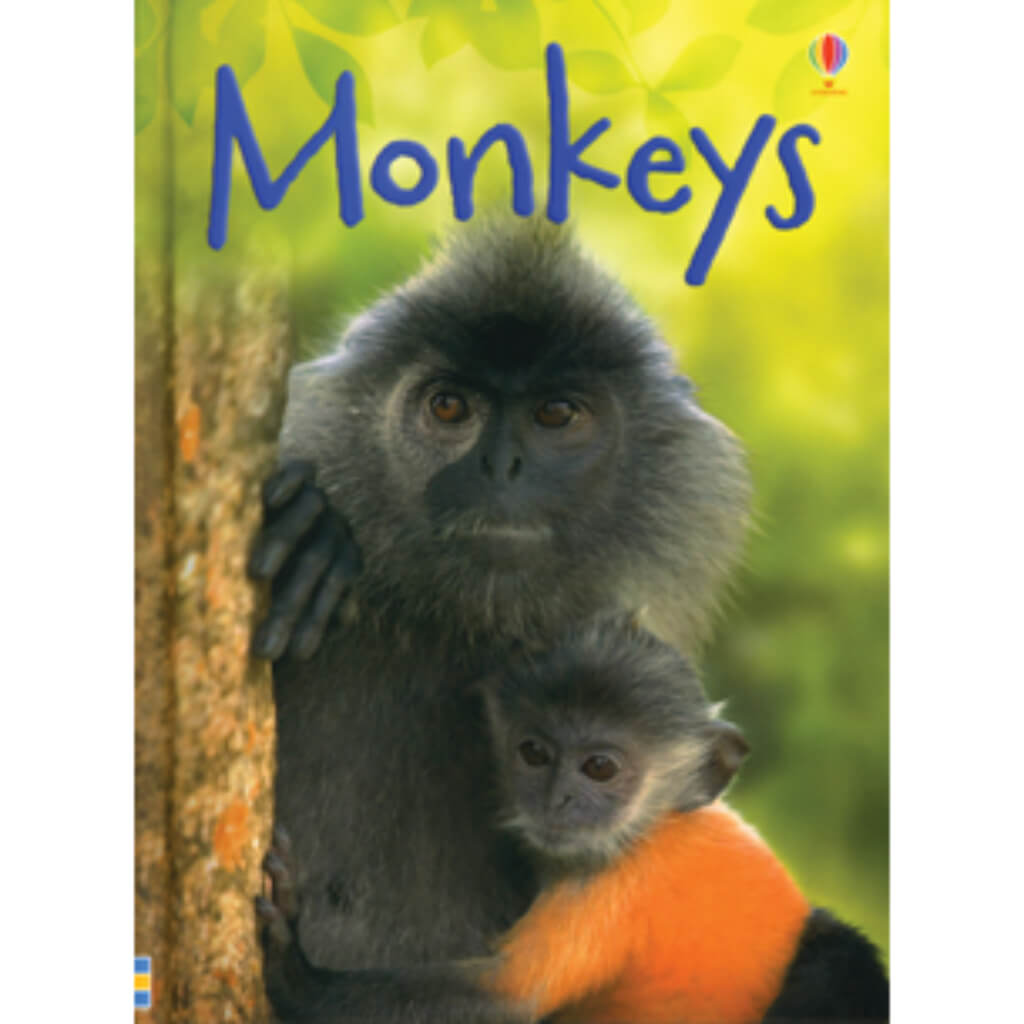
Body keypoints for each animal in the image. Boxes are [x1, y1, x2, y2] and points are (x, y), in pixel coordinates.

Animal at [256, 617, 888, 1024]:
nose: (558, 799)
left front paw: (292, 969)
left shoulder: (621, 881)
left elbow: (505, 999)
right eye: (534, 753)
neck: (659, 822)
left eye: (600, 767)